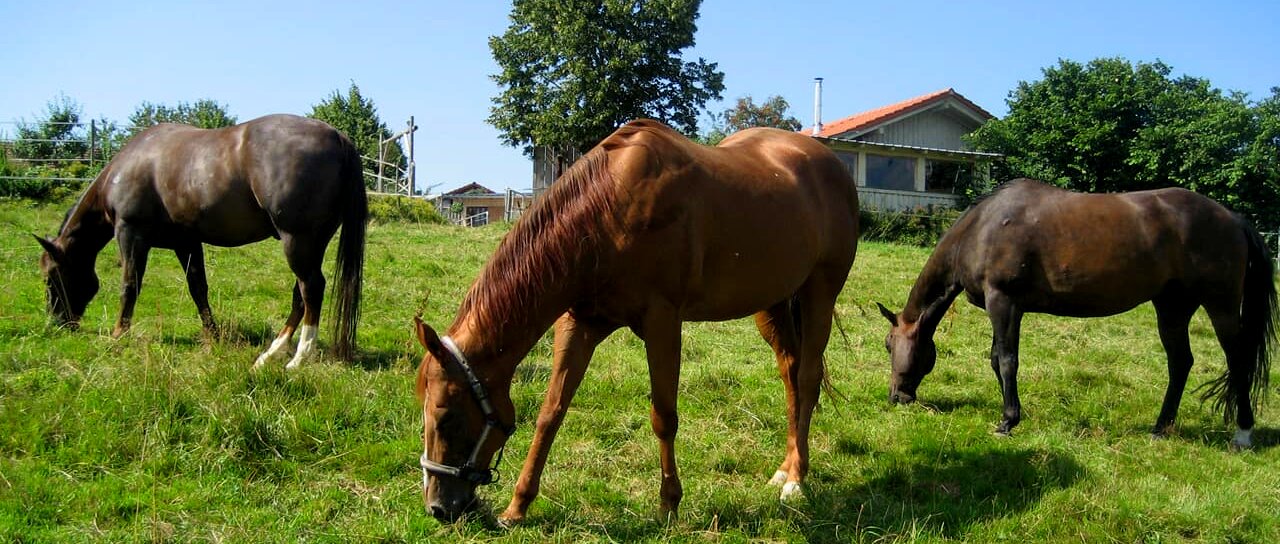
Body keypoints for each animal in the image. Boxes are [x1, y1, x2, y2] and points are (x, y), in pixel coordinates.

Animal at [36, 114, 366, 368]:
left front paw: (119, 333)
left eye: (52, 275)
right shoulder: (187, 243)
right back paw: (270, 354)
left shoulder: (130, 234)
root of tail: (338, 137)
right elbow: (198, 288)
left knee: (311, 288)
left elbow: (130, 285)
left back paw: (298, 358)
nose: (57, 322)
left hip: (297, 240)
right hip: (312, 243)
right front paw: (212, 336)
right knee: (301, 293)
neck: (125, 169)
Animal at [417, 119, 860, 522]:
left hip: (819, 293)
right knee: (791, 375)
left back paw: (796, 479)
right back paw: (784, 467)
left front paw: (668, 504)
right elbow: (550, 413)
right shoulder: (578, 324)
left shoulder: (662, 322)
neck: (606, 210)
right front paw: (518, 506)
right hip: (772, 305)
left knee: (808, 378)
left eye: (447, 416)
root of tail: (829, 163)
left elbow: (664, 416)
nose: (439, 507)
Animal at [875, 180, 1274, 448]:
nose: (897, 397)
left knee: (1237, 360)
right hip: (1172, 307)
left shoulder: (1003, 302)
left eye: (888, 344)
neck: (983, 228)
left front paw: (1008, 421)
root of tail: (1233, 218)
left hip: (1220, 305)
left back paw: (1243, 432)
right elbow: (995, 360)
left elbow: (1006, 360)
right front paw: (1009, 413)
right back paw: (1160, 428)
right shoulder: (1002, 306)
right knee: (1180, 363)